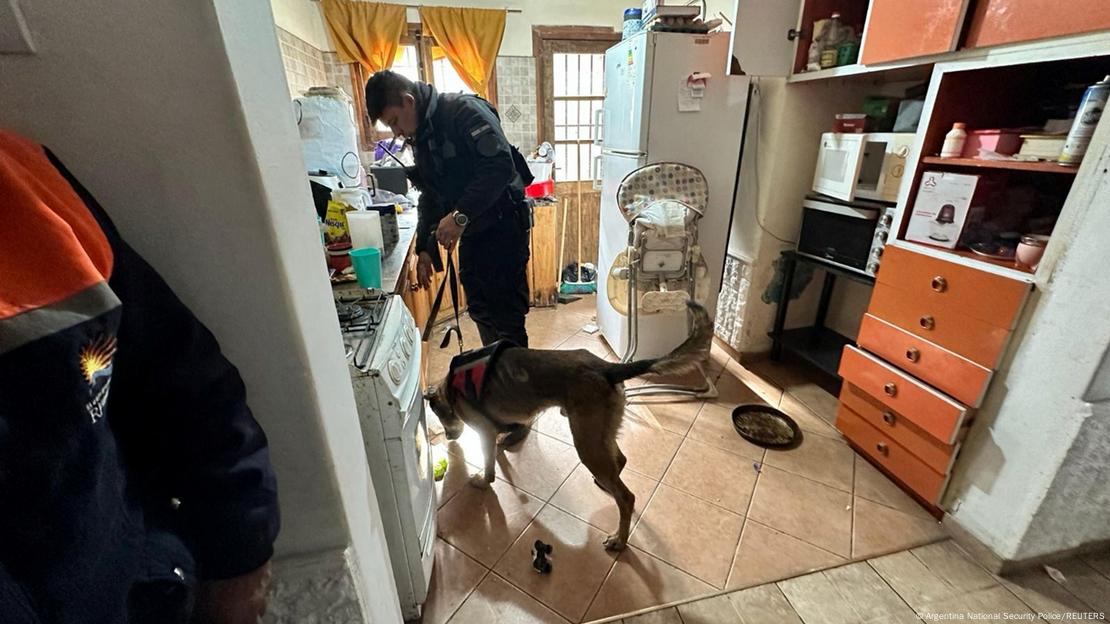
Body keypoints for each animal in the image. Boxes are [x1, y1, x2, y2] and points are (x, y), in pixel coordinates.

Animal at [424, 302, 710, 548]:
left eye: (441, 417)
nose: (449, 437)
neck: (450, 388)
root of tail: (608, 368)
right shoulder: (491, 432)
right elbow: (496, 454)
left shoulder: (483, 431)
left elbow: (488, 464)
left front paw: (484, 480)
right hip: (598, 435)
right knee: (620, 462)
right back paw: (607, 487)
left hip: (586, 443)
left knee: (626, 497)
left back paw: (620, 539)